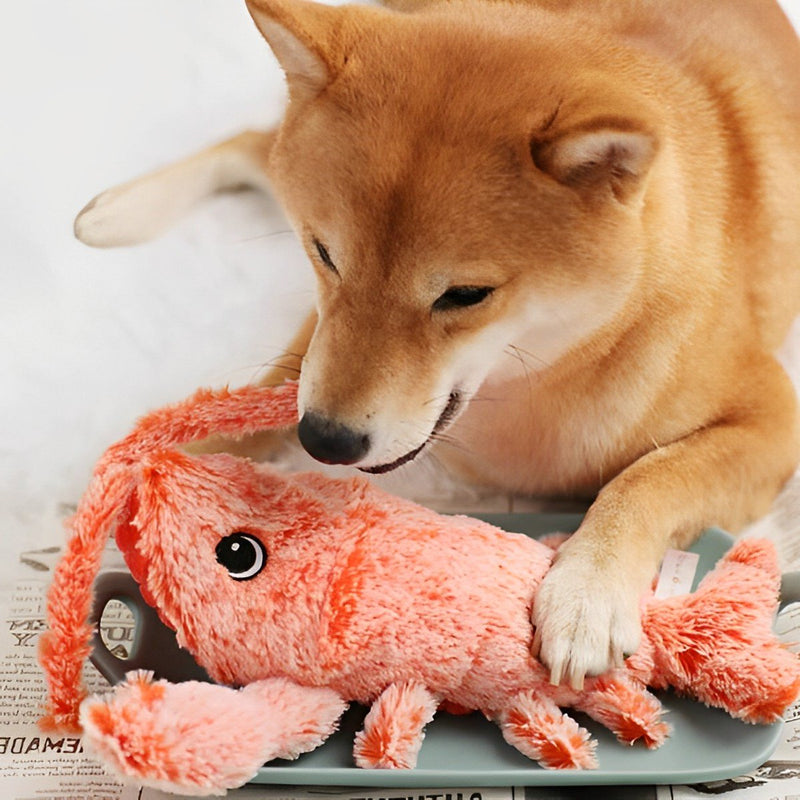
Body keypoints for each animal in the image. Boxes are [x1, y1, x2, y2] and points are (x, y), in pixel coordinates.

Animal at [73, 0, 800, 688]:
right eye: (324, 255)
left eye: (466, 295)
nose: (324, 440)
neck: (538, 384)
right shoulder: (319, 339)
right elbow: (265, 395)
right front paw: (172, 468)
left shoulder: (772, 423)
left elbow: (649, 478)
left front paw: (587, 592)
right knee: (257, 143)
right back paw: (116, 212)